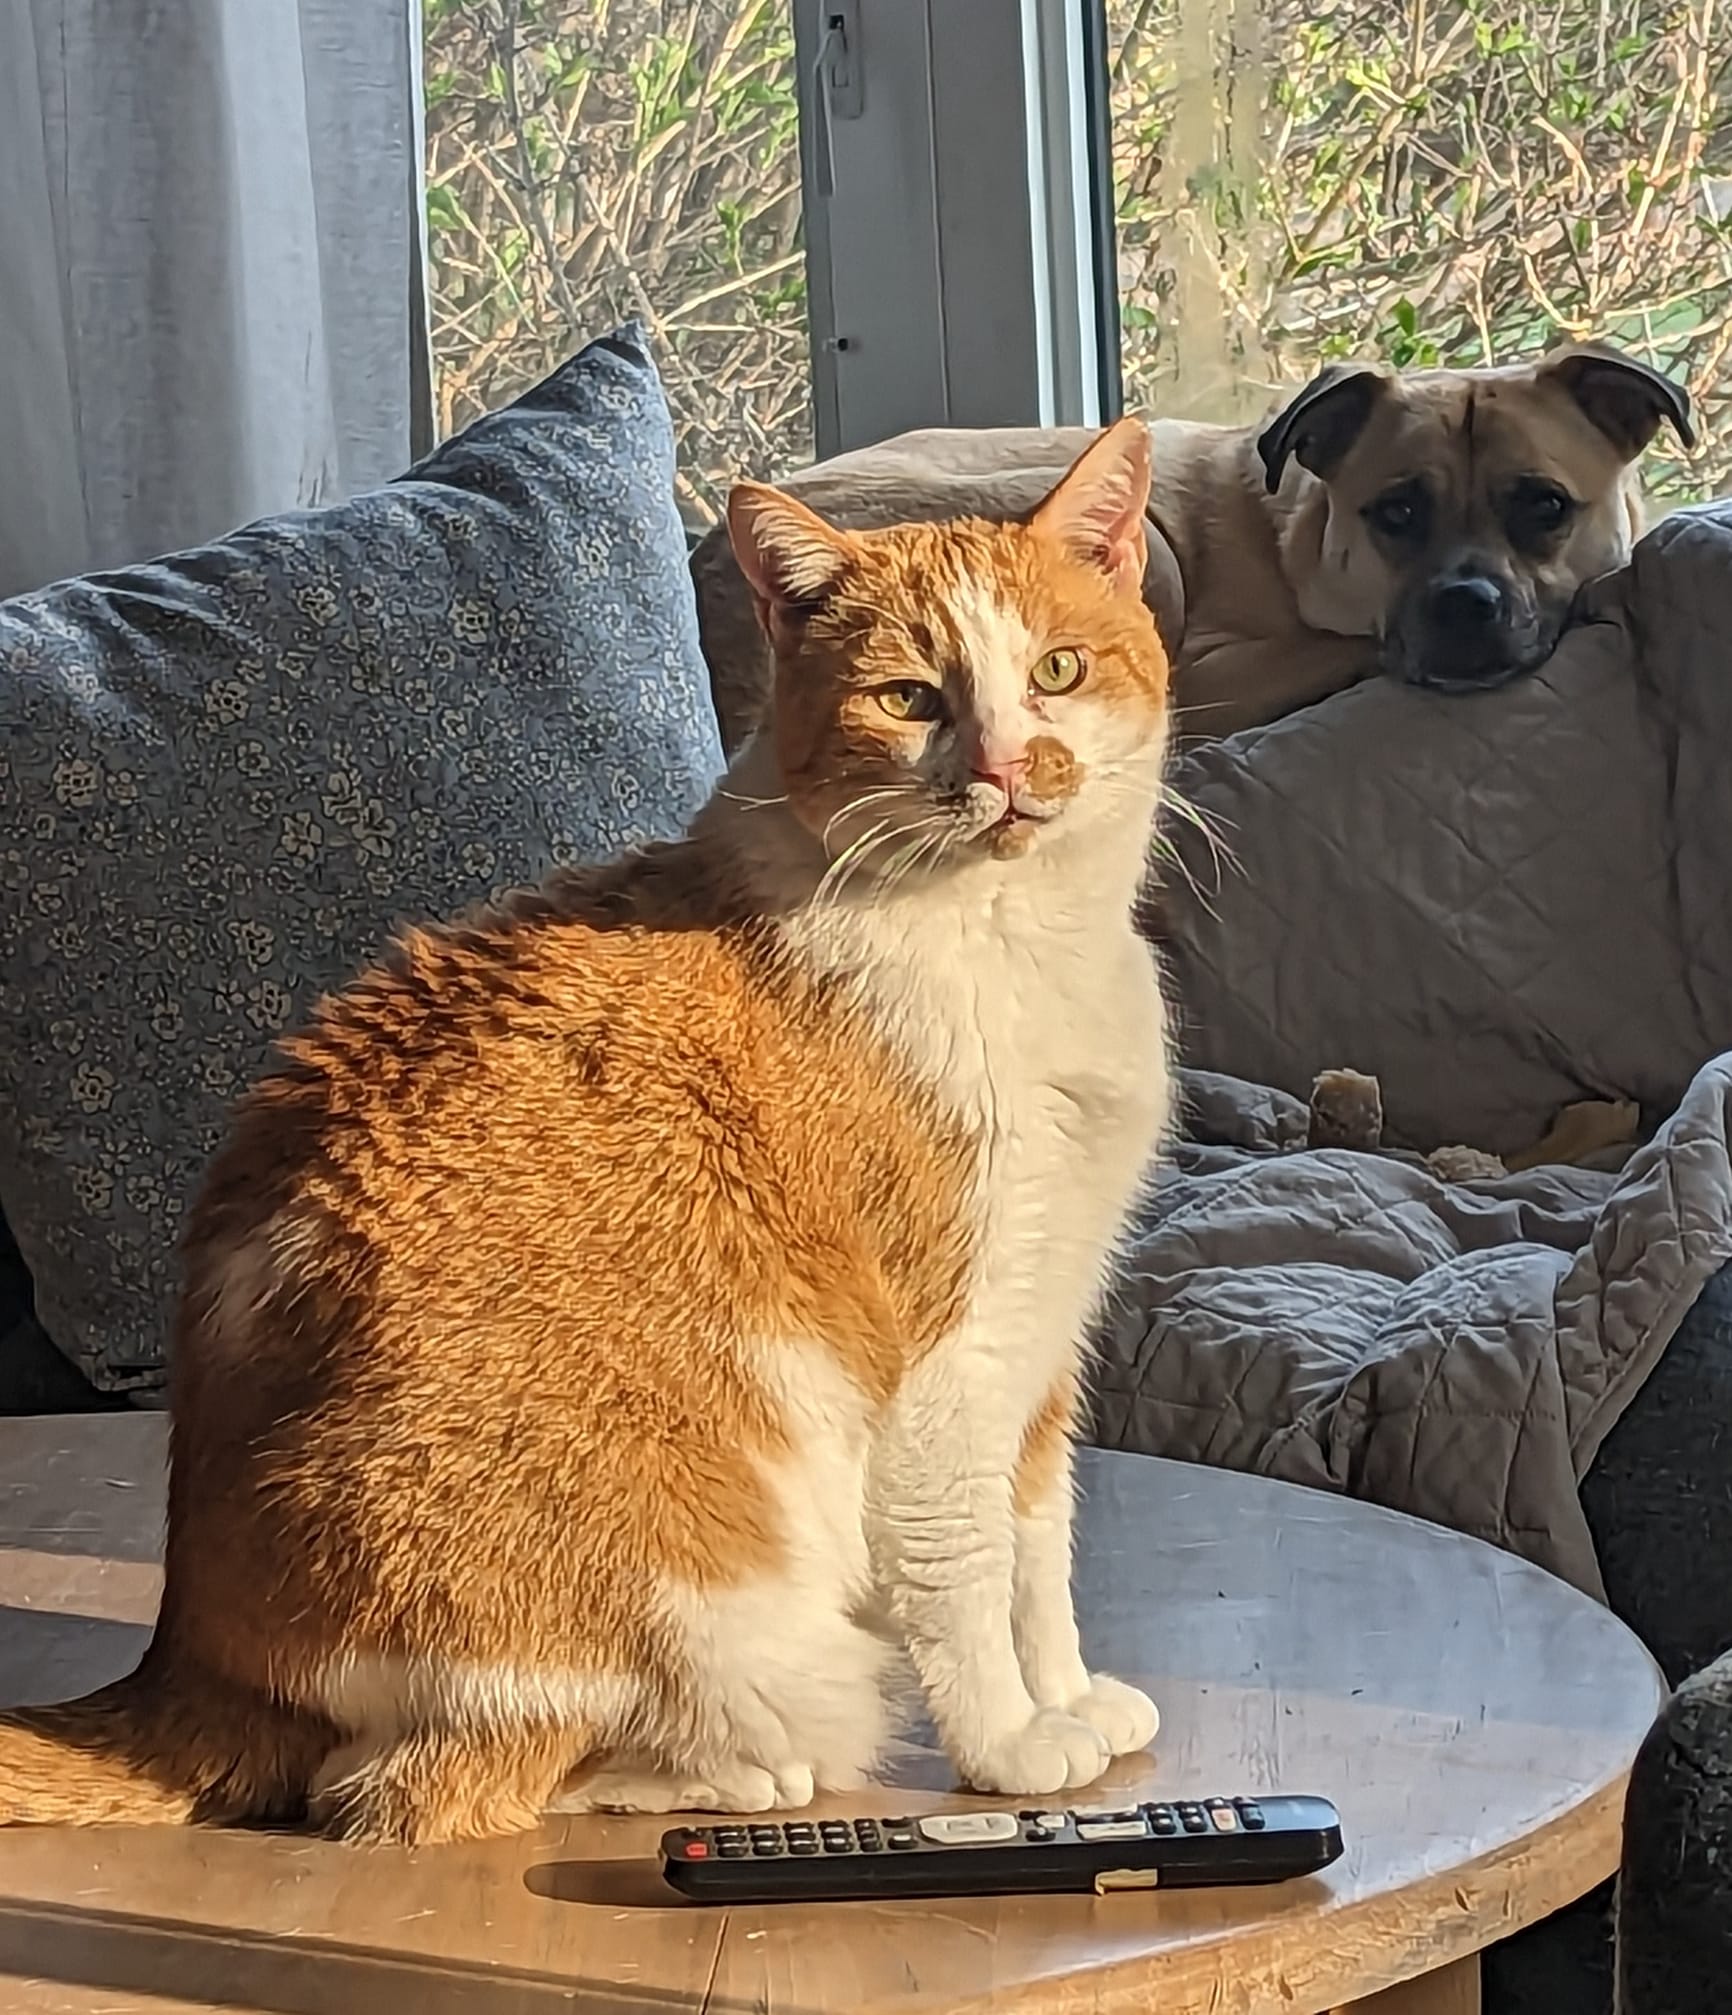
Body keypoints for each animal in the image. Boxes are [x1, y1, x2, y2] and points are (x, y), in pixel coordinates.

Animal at [0, 417, 1176, 1845]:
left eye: (1057, 671)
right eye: (909, 699)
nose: (1006, 771)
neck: (1017, 944)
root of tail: (194, 1660)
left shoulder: (1045, 1331)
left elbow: (1039, 1547)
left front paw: (1067, 1695)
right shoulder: (950, 1355)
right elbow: (965, 1564)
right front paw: (1007, 1744)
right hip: (709, 1607)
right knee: (423, 1786)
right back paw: (733, 1776)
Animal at [684, 338, 1691, 749]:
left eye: (1544, 505)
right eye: (1397, 512)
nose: (1464, 606)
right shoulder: (1214, 664)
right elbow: (1342, 651)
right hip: (1150, 559)